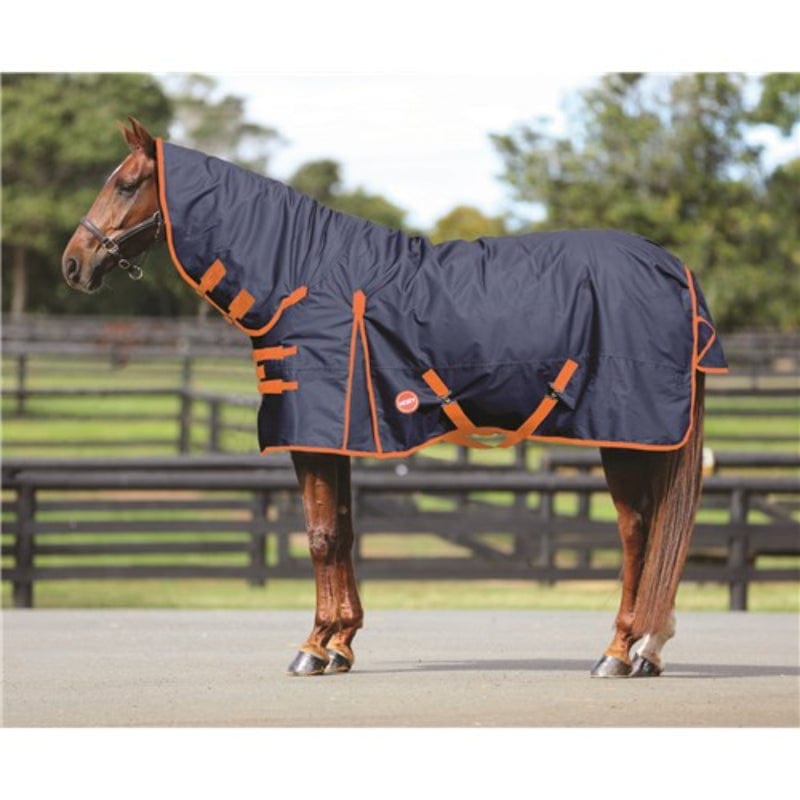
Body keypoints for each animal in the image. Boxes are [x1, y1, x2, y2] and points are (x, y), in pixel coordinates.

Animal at [62, 117, 728, 678]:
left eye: (125, 184)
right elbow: (344, 530)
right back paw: (647, 650)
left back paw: (618, 651)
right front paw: (340, 643)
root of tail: (677, 271)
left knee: (638, 532)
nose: (73, 263)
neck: (302, 276)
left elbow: (320, 536)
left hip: (625, 438)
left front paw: (311, 648)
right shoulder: (339, 437)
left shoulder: (313, 435)